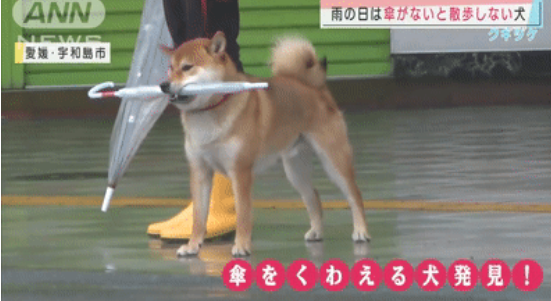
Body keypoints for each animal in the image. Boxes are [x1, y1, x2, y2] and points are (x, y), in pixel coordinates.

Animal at [162, 31, 374, 255]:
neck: (210, 111)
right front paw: (193, 246)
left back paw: (361, 231)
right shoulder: (200, 171)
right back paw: (316, 231)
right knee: (313, 196)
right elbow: (198, 217)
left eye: (187, 67)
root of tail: (315, 87)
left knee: (355, 195)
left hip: (334, 160)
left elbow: (243, 215)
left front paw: (241, 245)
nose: (163, 85)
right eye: (170, 68)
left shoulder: (241, 172)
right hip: (295, 170)